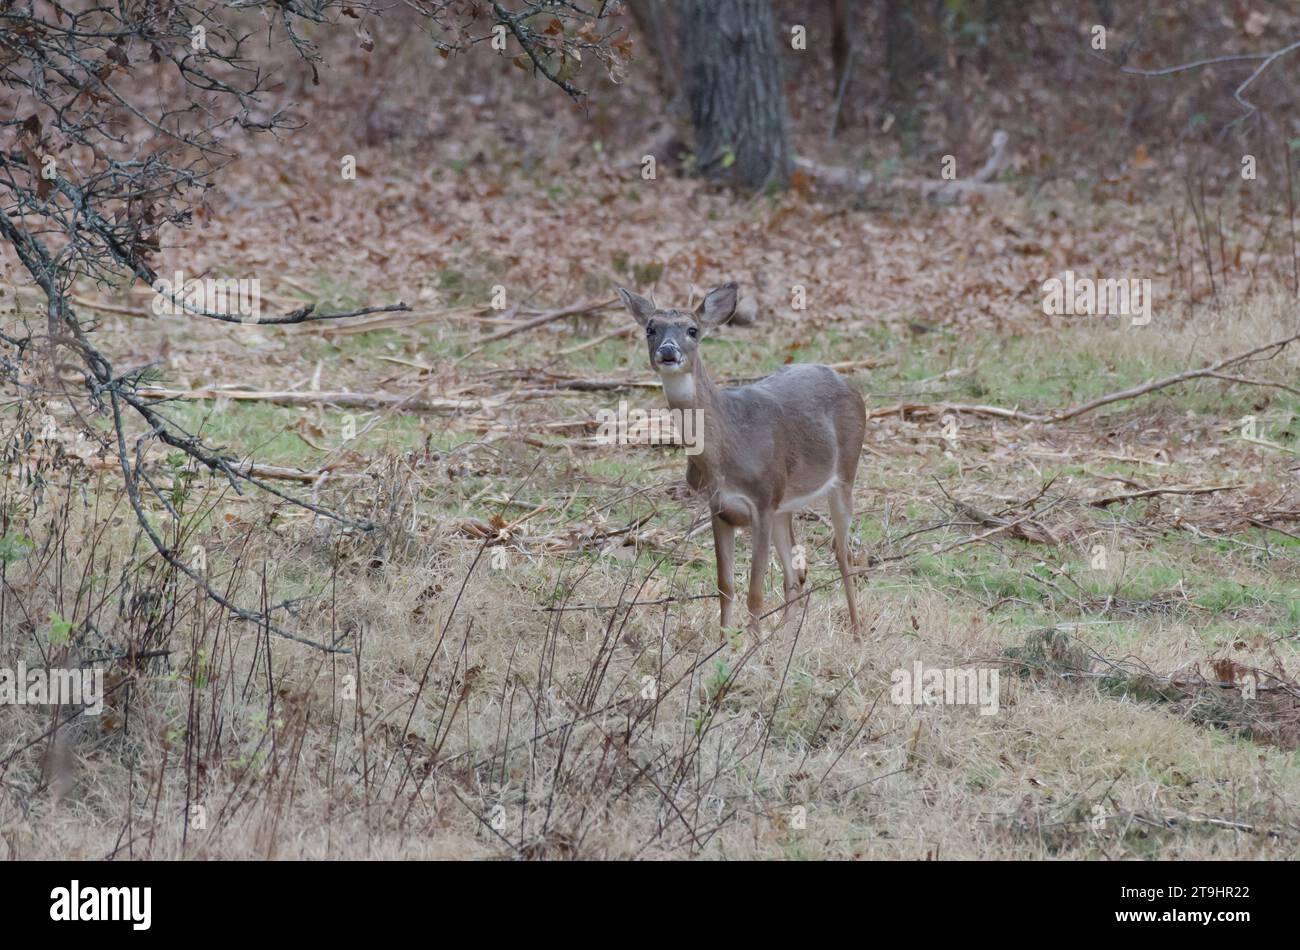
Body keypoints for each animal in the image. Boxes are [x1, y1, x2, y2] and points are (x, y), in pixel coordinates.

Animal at [615, 283, 866, 638]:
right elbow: (725, 585)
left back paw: (856, 632)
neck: (725, 451)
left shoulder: (760, 502)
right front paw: (725, 641)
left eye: (692, 330)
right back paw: (784, 636)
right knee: (795, 574)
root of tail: (848, 384)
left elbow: (755, 591)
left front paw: (752, 645)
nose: (668, 350)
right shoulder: (720, 508)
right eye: (651, 328)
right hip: (784, 502)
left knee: (843, 555)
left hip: (844, 473)